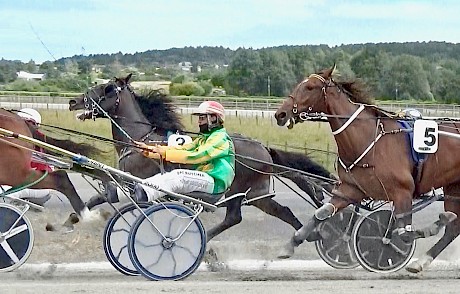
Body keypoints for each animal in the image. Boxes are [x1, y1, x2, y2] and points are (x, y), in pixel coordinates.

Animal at [67, 74, 334, 242]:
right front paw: (73, 218)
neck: (140, 138)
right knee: (266, 214)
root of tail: (264, 149)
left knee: (242, 216)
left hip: (243, 188)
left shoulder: (137, 183)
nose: (73, 101)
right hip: (254, 194)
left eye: (106, 89)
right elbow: (102, 196)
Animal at [274, 65, 460, 274]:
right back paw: (421, 262)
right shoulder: (351, 190)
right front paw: (290, 245)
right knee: (453, 229)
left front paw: (432, 226)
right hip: (454, 187)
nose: (281, 114)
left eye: (310, 87)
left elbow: (403, 233)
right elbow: (321, 213)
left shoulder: (403, 191)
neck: (368, 140)